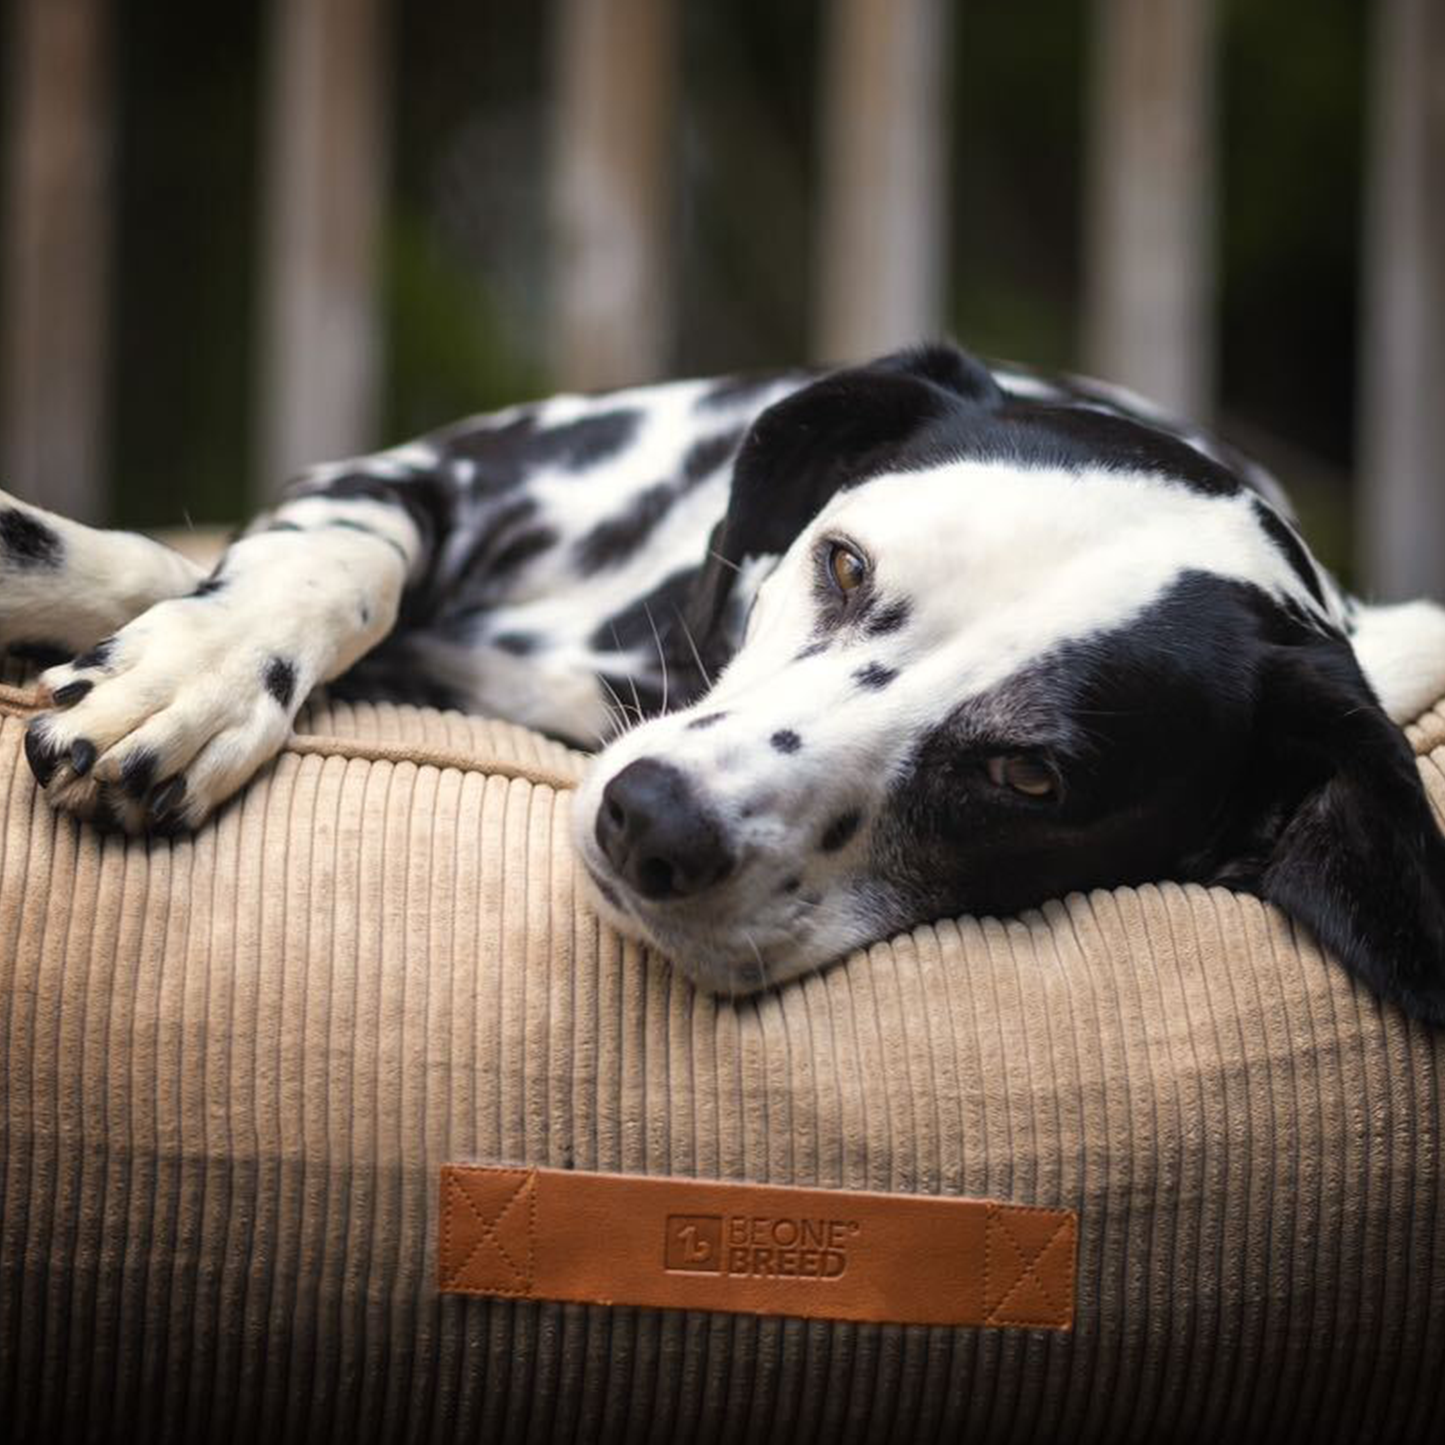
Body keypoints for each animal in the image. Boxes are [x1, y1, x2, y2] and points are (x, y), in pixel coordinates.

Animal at [2, 341, 1445, 1017]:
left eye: (1031, 775)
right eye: (844, 562)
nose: (653, 825)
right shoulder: (427, 474)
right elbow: (331, 555)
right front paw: (184, 674)